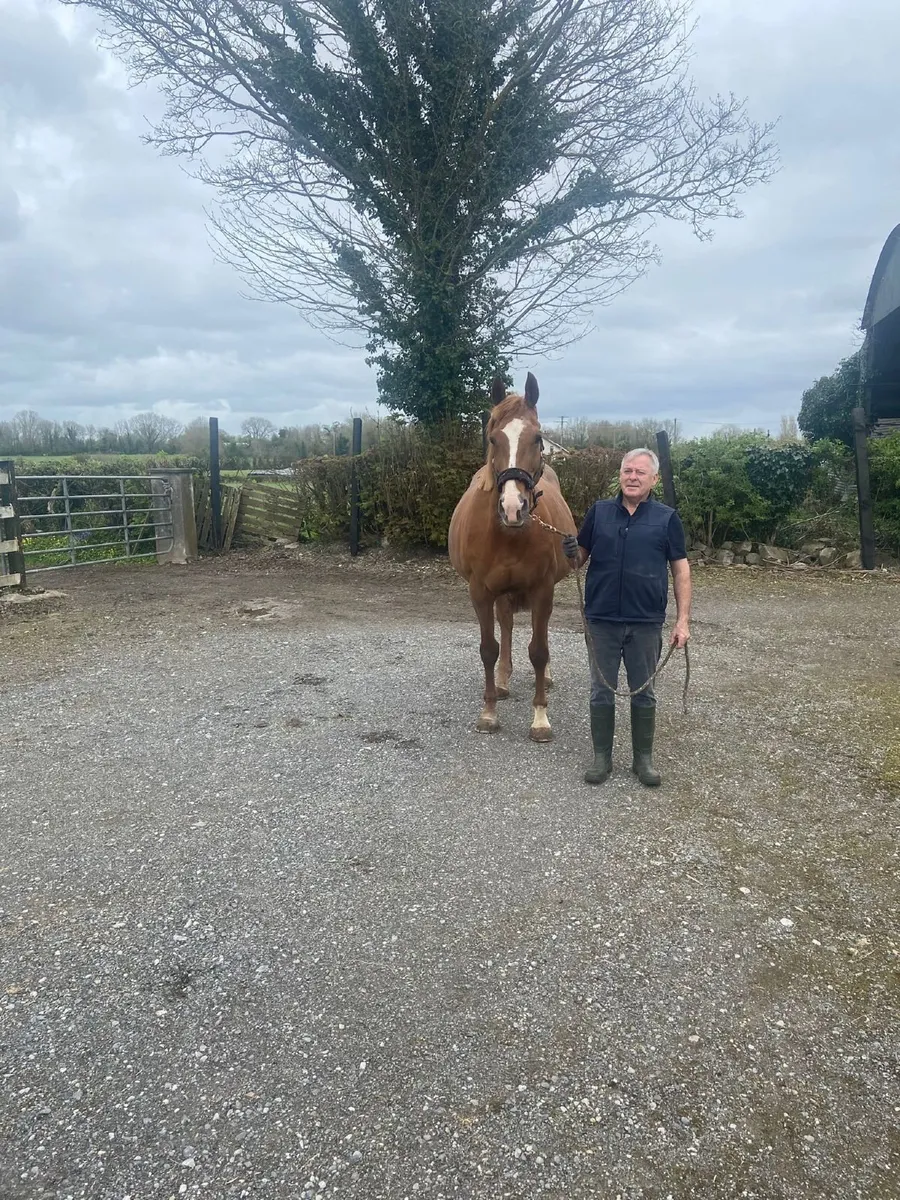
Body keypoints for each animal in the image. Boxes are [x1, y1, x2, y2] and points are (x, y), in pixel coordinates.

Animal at [448, 372, 577, 741]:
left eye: (538, 438)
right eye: (493, 438)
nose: (512, 507)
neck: (506, 534)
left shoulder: (543, 589)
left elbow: (539, 649)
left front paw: (540, 718)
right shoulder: (480, 592)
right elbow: (488, 649)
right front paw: (489, 712)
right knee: (505, 625)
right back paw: (503, 682)